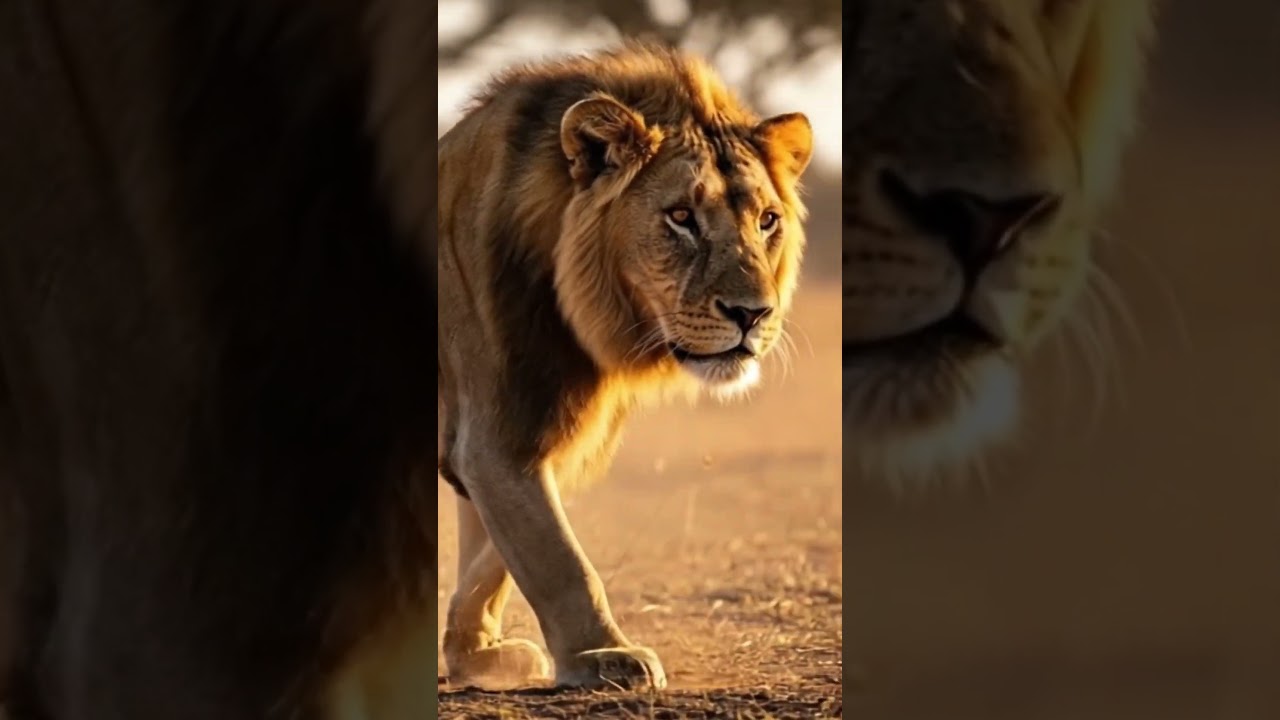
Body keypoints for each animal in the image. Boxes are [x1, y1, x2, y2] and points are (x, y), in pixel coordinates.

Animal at [436, 43, 813, 689]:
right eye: (681, 216)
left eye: (768, 220)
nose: (753, 314)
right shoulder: (498, 430)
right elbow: (558, 556)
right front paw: (601, 655)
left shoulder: (533, 433)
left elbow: (496, 550)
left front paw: (472, 652)